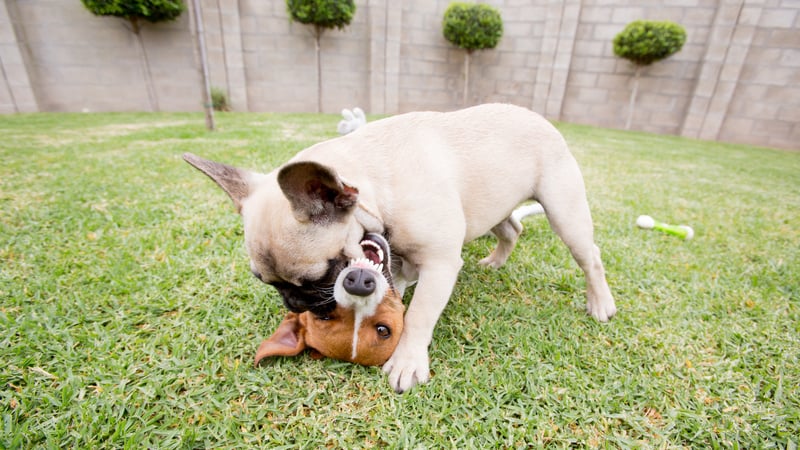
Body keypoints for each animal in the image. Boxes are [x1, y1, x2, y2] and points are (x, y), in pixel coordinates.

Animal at [186, 103, 620, 392]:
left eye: (318, 275)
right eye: (266, 281)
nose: (294, 302)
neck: (376, 182)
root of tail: (539, 118)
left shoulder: (440, 264)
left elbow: (419, 316)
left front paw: (407, 360)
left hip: (565, 212)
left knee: (590, 257)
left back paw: (600, 302)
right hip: (491, 206)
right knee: (511, 228)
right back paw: (495, 261)